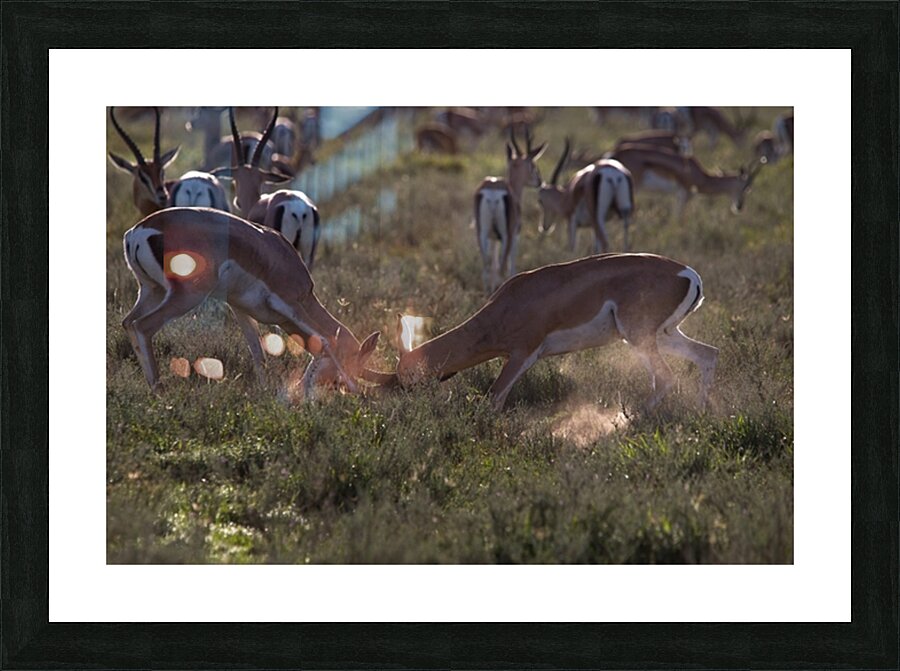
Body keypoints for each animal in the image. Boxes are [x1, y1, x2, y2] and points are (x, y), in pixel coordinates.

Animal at [121, 207, 383, 395]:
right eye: (353, 363)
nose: (336, 389)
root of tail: (139, 231)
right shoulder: (291, 303)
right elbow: (325, 340)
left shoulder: (240, 308)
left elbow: (258, 352)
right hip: (186, 295)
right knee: (143, 326)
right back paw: (159, 390)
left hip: (151, 291)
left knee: (128, 323)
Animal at [391, 253, 717, 411]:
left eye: (406, 376)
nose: (408, 405)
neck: (507, 305)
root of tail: (689, 274)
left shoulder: (522, 354)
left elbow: (494, 397)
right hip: (662, 334)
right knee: (707, 354)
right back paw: (702, 412)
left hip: (638, 336)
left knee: (666, 377)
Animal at [475, 127, 546, 293]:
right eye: (533, 165)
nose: (539, 181)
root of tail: (493, 191)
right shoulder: (515, 235)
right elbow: (511, 266)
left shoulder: (493, 238)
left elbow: (493, 265)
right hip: (506, 235)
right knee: (502, 268)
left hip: (482, 233)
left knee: (486, 268)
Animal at [609, 144, 761, 219]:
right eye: (746, 187)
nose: (739, 206)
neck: (702, 177)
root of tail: (615, 154)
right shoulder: (684, 194)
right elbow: (678, 218)